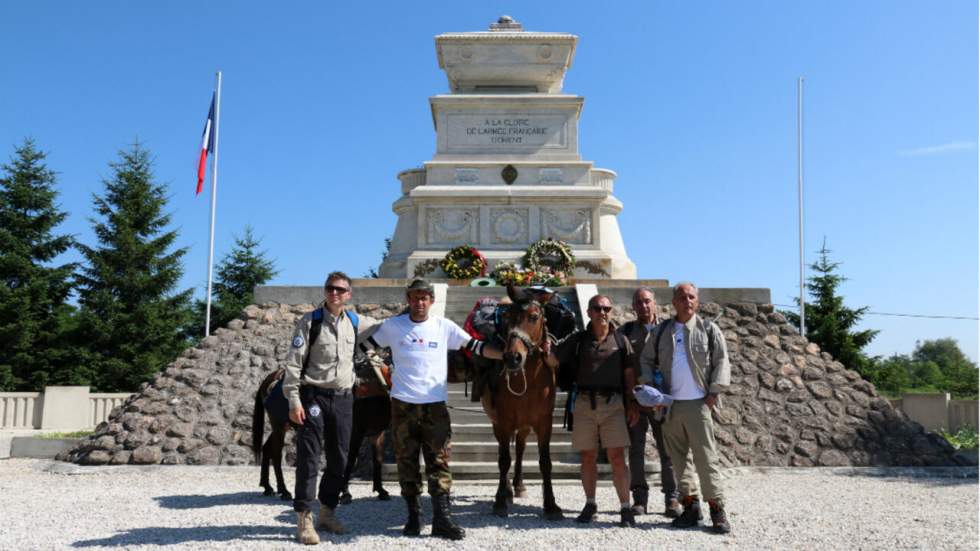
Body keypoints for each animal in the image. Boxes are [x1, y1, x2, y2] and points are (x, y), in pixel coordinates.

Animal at [494, 284, 564, 520]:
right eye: (506, 317)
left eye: (534, 316)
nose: (512, 358)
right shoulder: (503, 421)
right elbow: (503, 460)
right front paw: (499, 501)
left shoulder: (544, 423)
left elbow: (545, 462)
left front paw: (551, 505)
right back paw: (506, 490)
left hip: (524, 426)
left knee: (521, 447)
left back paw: (518, 485)